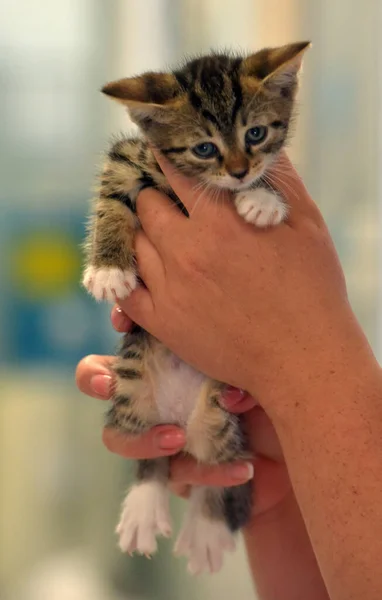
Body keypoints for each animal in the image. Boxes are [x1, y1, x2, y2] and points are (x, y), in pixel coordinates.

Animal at [83, 39, 310, 576]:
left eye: (256, 134)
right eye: (204, 148)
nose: (240, 172)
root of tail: (180, 420)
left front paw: (263, 200)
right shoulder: (130, 157)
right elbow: (111, 198)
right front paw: (108, 268)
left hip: (222, 410)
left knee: (223, 467)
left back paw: (207, 526)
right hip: (133, 389)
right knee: (153, 453)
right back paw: (144, 504)